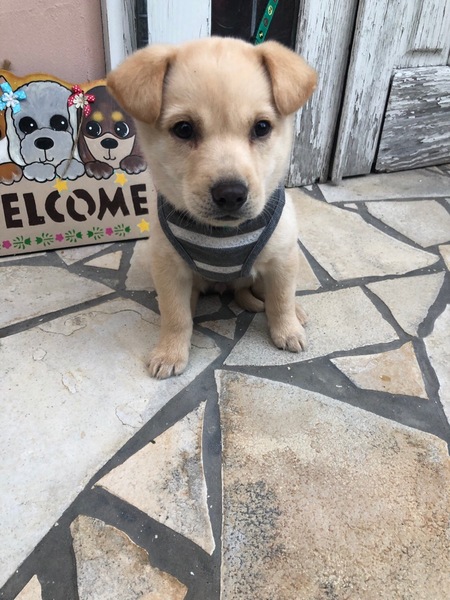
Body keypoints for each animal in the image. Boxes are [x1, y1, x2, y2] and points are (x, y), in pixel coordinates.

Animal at [107, 37, 317, 379]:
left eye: (261, 127)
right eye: (183, 129)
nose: (231, 194)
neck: (223, 234)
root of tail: (226, 284)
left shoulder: (283, 259)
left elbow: (281, 299)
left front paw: (287, 330)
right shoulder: (169, 268)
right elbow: (175, 315)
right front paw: (170, 351)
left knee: (269, 294)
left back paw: (296, 313)